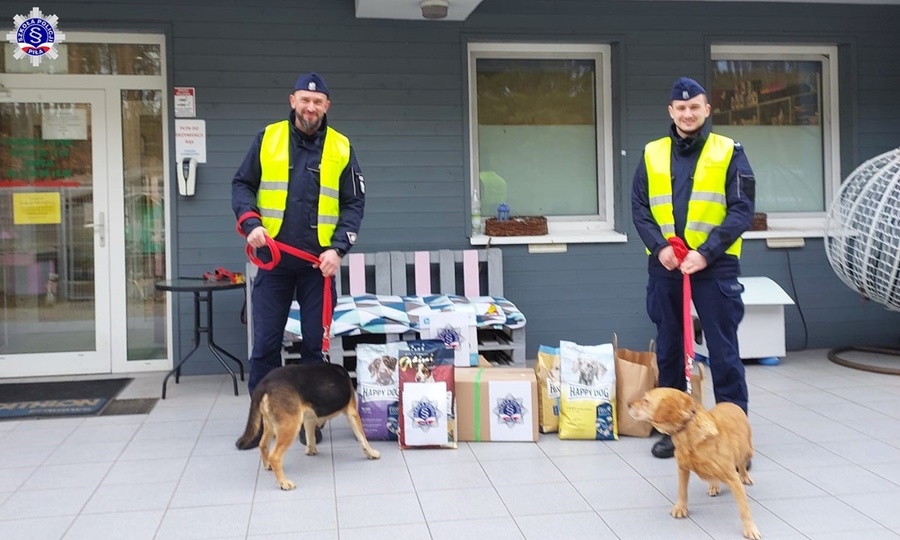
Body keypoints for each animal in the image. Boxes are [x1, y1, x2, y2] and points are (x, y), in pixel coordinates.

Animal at [236, 362, 380, 490]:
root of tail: (264, 383)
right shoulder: (352, 413)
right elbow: (362, 438)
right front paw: (371, 453)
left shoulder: (309, 418)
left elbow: (310, 436)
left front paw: (310, 450)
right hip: (290, 426)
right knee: (275, 457)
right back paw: (283, 482)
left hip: (269, 424)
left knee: (263, 444)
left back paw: (267, 465)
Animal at [624, 386, 760, 536]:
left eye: (646, 400)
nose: (628, 404)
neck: (687, 430)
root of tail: (730, 403)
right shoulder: (682, 468)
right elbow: (682, 491)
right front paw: (680, 508)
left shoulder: (732, 478)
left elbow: (744, 509)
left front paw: (750, 528)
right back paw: (714, 485)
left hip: (747, 450)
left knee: (741, 463)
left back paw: (744, 476)